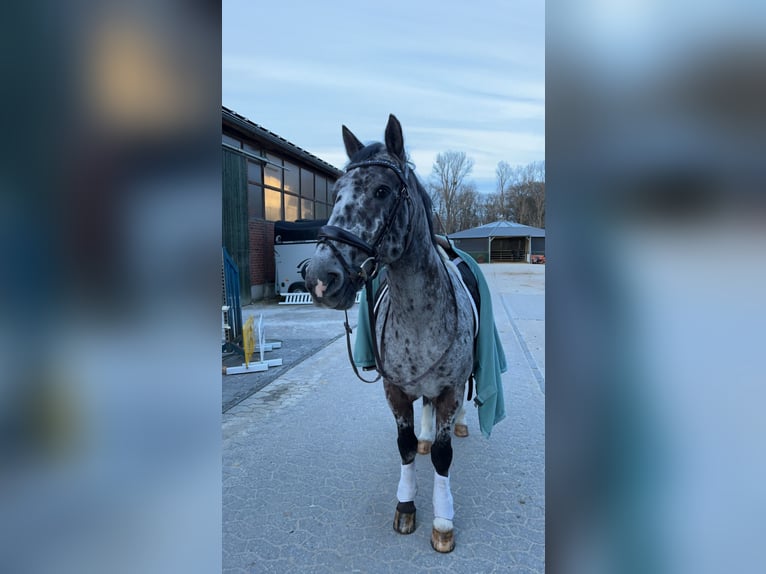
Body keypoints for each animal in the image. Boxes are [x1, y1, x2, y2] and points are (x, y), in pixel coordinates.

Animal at [306, 116, 480, 552]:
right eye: (335, 192)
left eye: (382, 190)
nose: (318, 277)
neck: (419, 318)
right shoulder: (395, 390)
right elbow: (405, 447)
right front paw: (406, 506)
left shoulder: (451, 389)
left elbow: (443, 456)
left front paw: (443, 521)